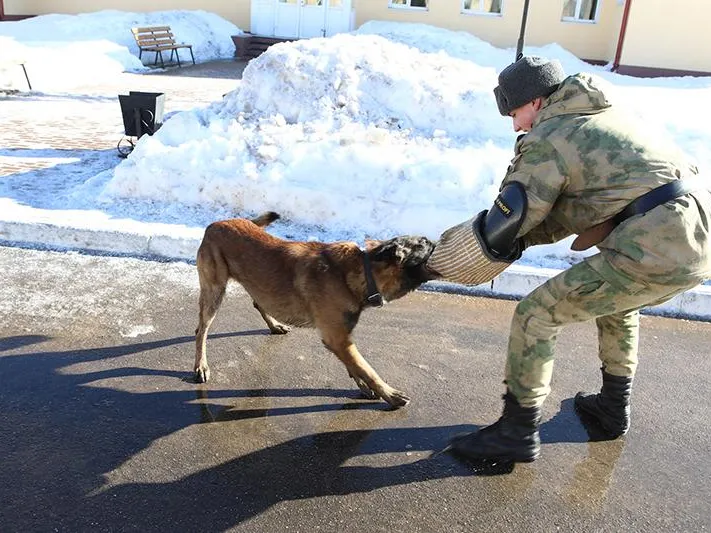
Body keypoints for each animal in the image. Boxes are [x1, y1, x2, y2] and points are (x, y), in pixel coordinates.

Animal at [196, 212, 440, 408]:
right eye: (425, 243)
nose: (441, 240)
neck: (362, 271)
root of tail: (215, 224)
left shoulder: (341, 338)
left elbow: (354, 364)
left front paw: (363, 385)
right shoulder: (337, 337)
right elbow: (367, 368)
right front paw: (389, 394)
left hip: (257, 286)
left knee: (258, 303)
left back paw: (274, 325)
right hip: (214, 292)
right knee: (201, 330)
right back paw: (200, 366)